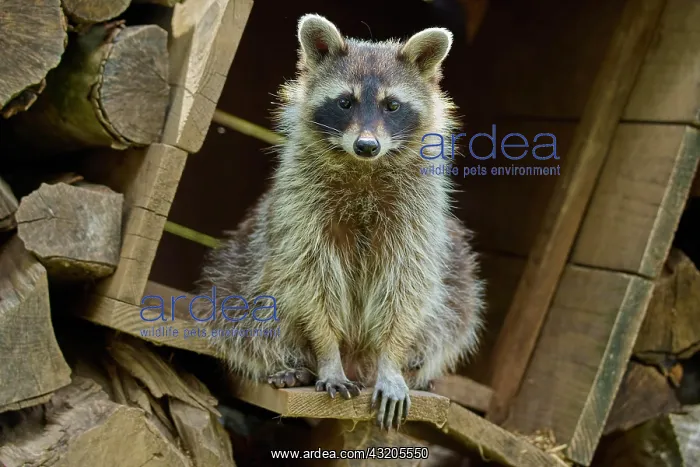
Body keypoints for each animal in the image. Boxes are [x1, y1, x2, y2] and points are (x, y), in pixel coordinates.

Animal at [195, 14, 485, 430]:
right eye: (345, 102)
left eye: (392, 105)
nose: (367, 146)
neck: (363, 168)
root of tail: (357, 360)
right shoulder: (300, 208)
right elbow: (310, 279)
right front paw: (326, 352)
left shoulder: (418, 215)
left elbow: (407, 284)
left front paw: (392, 360)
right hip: (242, 263)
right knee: (249, 300)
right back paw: (286, 360)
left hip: (453, 263)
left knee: (456, 303)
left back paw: (415, 366)